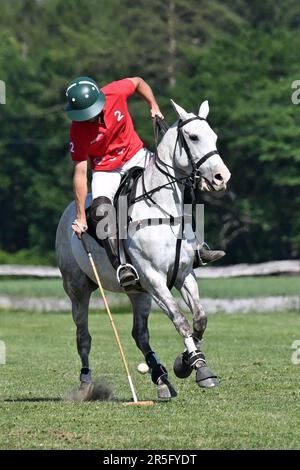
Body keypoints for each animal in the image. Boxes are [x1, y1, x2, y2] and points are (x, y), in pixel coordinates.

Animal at [55, 99, 230, 396]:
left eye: (214, 137)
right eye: (193, 137)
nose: (221, 177)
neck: (164, 212)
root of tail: (71, 211)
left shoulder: (183, 274)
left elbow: (199, 318)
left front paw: (185, 363)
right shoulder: (154, 277)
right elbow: (180, 319)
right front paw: (197, 365)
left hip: (138, 292)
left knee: (140, 334)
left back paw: (161, 378)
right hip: (77, 288)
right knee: (83, 335)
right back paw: (86, 383)